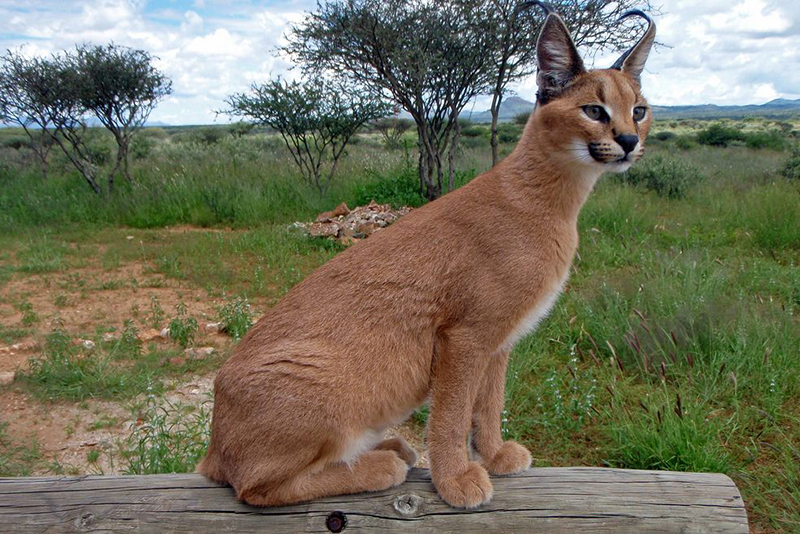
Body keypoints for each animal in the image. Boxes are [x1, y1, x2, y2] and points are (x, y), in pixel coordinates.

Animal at [198, 1, 656, 510]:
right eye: (594, 110)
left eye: (639, 111)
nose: (629, 141)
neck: (553, 198)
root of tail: (215, 444)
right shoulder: (465, 335)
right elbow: (452, 412)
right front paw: (455, 479)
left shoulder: (500, 339)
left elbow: (489, 403)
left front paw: (494, 454)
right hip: (328, 383)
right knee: (254, 486)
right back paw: (379, 466)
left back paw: (387, 448)